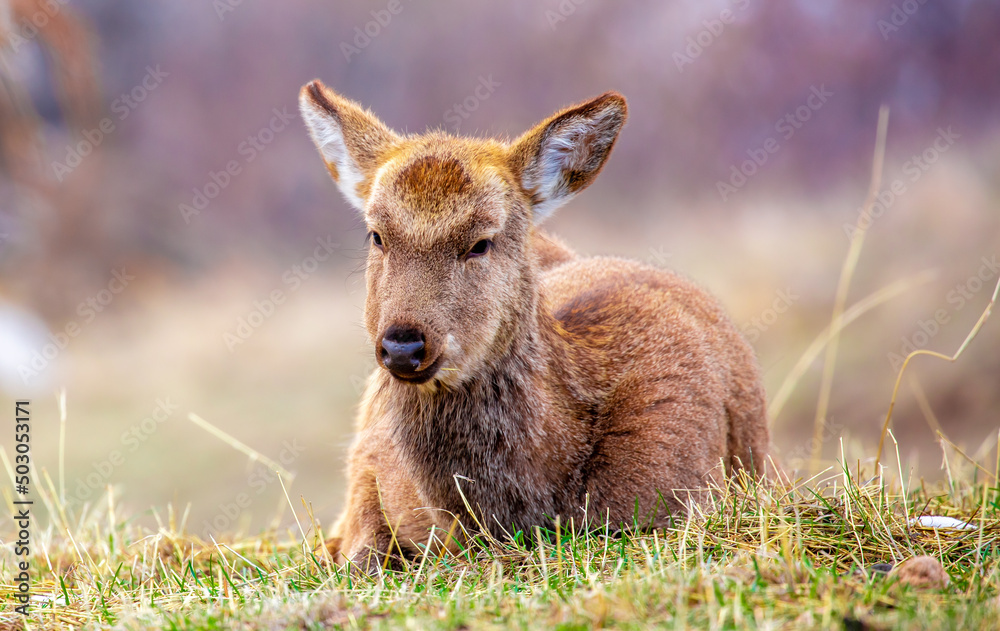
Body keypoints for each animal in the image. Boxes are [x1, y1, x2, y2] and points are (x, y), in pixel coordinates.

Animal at [299, 80, 770, 572]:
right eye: (377, 235)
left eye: (481, 242)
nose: (403, 346)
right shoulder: (369, 470)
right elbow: (358, 552)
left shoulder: (679, 482)